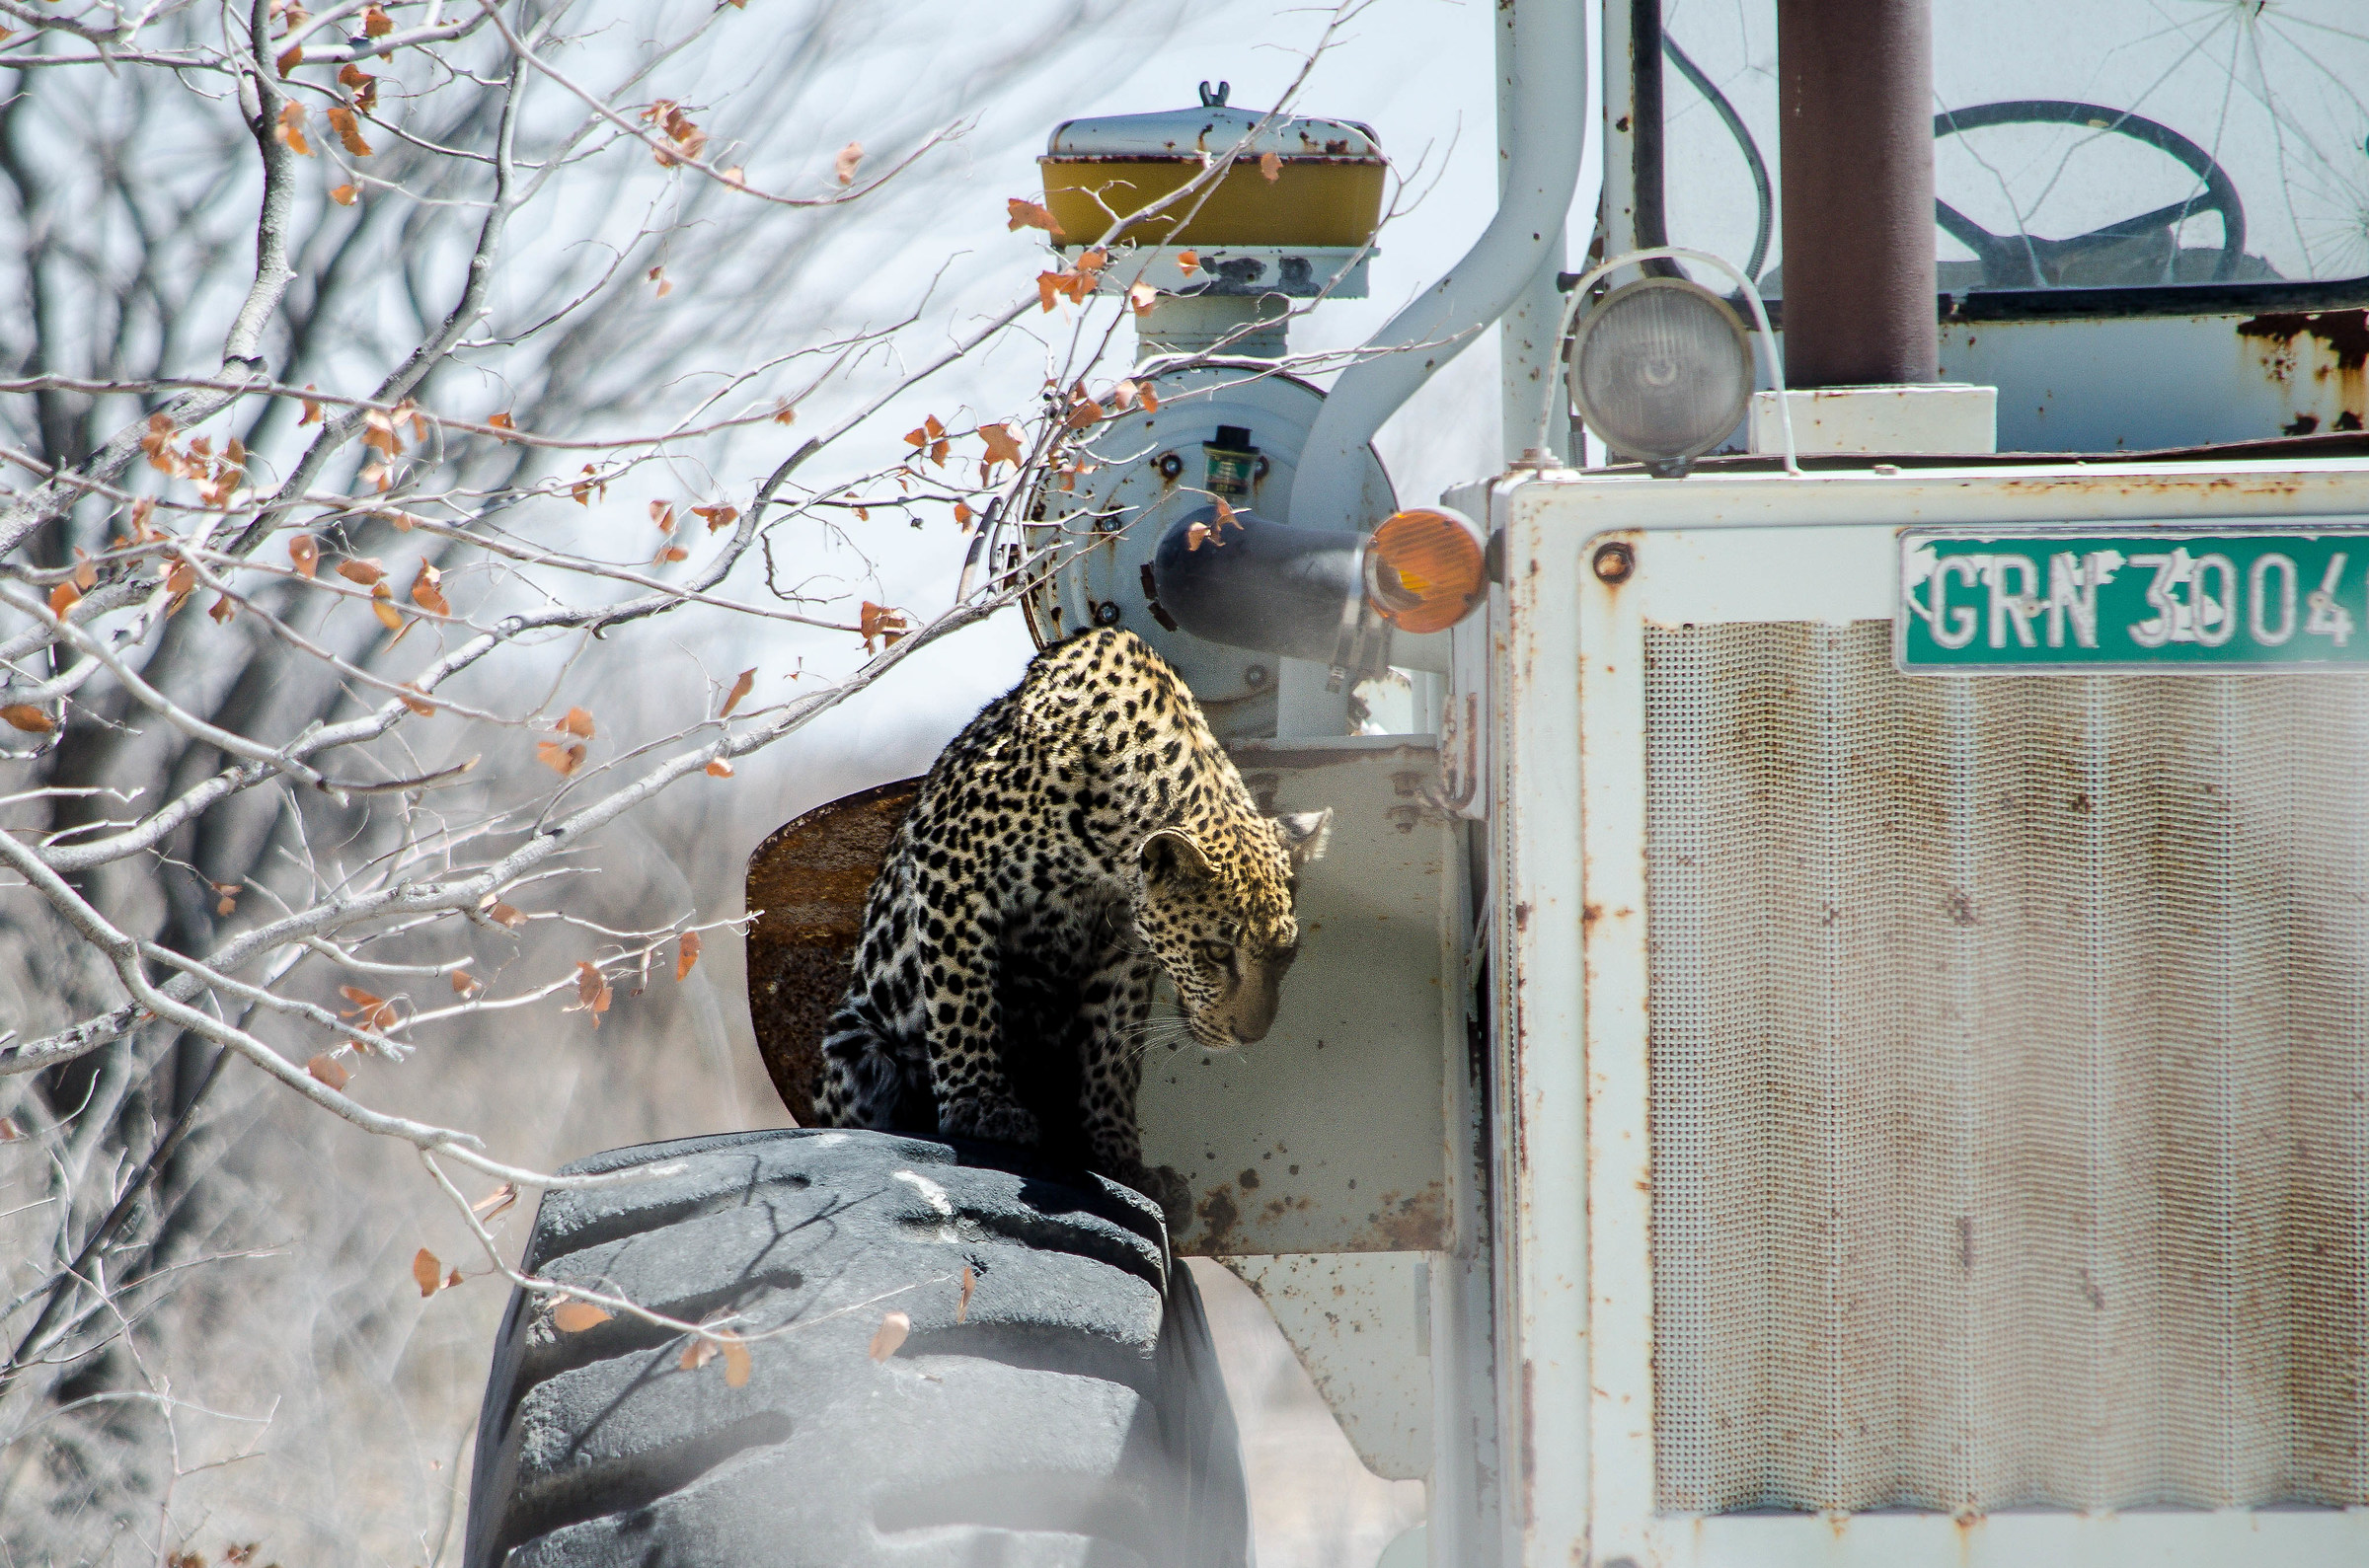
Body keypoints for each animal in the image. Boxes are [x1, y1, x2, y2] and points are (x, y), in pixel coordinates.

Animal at [813, 627, 1330, 1223]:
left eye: (1285, 955)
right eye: (1218, 953)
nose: (1252, 1036)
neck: (1109, 847)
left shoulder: (1124, 943)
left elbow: (1112, 1048)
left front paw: (1118, 1157)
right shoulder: (950, 864)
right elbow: (961, 994)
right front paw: (980, 1107)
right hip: (855, 1046)